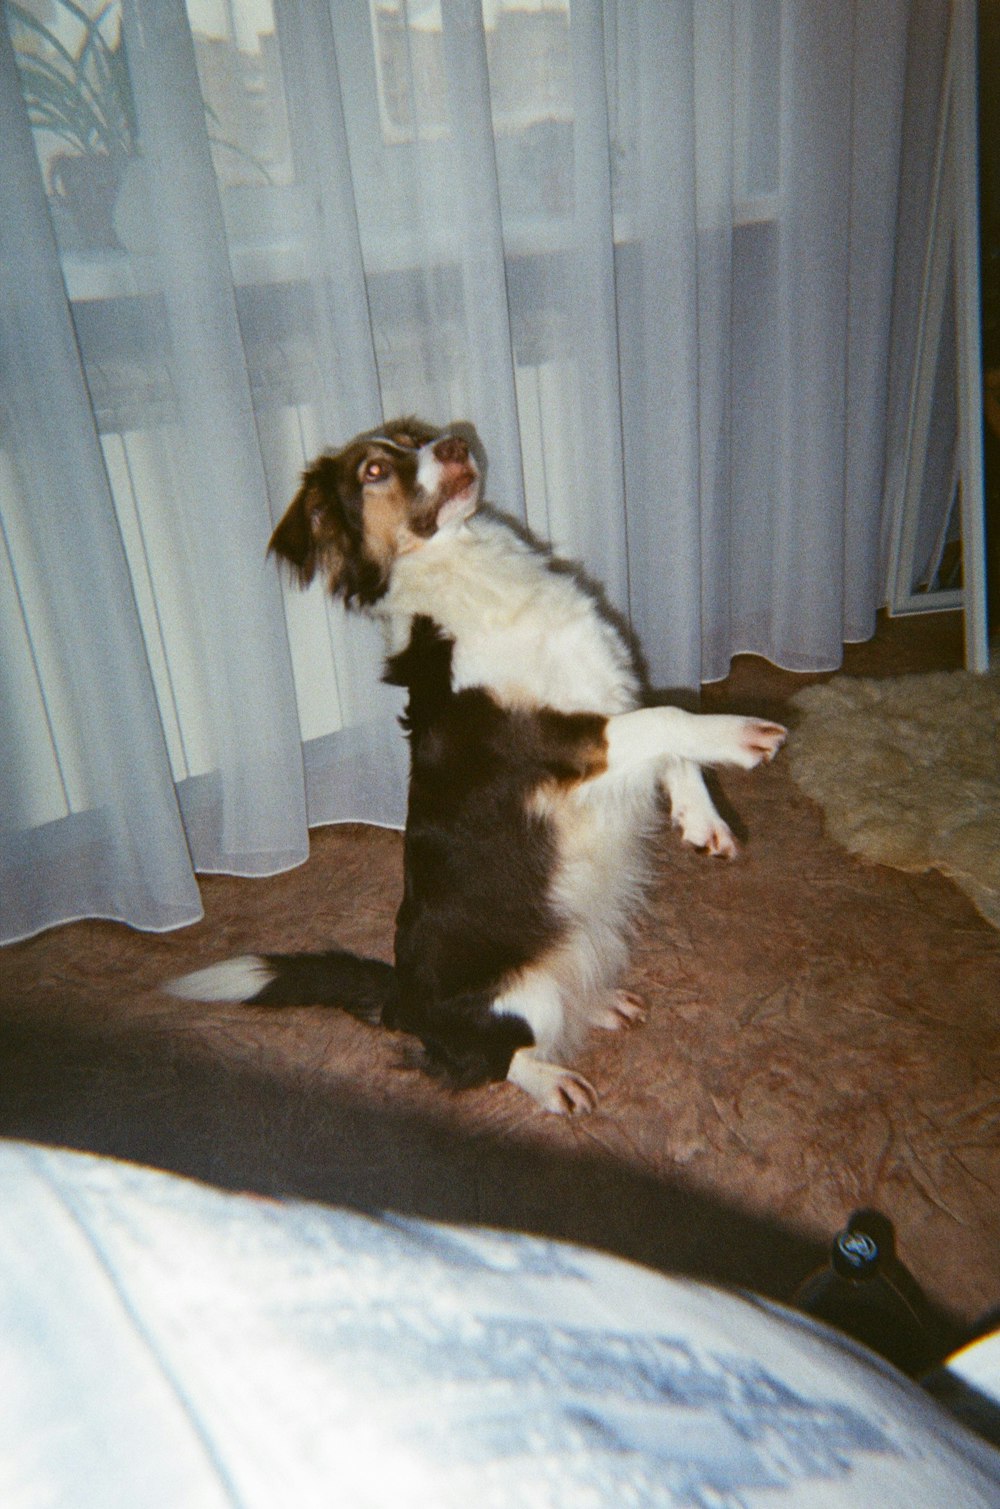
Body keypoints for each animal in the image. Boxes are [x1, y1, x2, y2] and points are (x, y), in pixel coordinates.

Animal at [168, 419, 784, 1116]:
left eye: (414, 436)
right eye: (374, 471)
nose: (456, 444)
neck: (467, 567)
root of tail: (403, 1002)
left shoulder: (614, 690)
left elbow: (669, 731)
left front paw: (702, 820)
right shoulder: (556, 740)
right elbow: (669, 719)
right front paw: (743, 736)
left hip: (575, 947)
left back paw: (598, 1004)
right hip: (521, 996)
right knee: (487, 1056)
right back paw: (551, 1080)